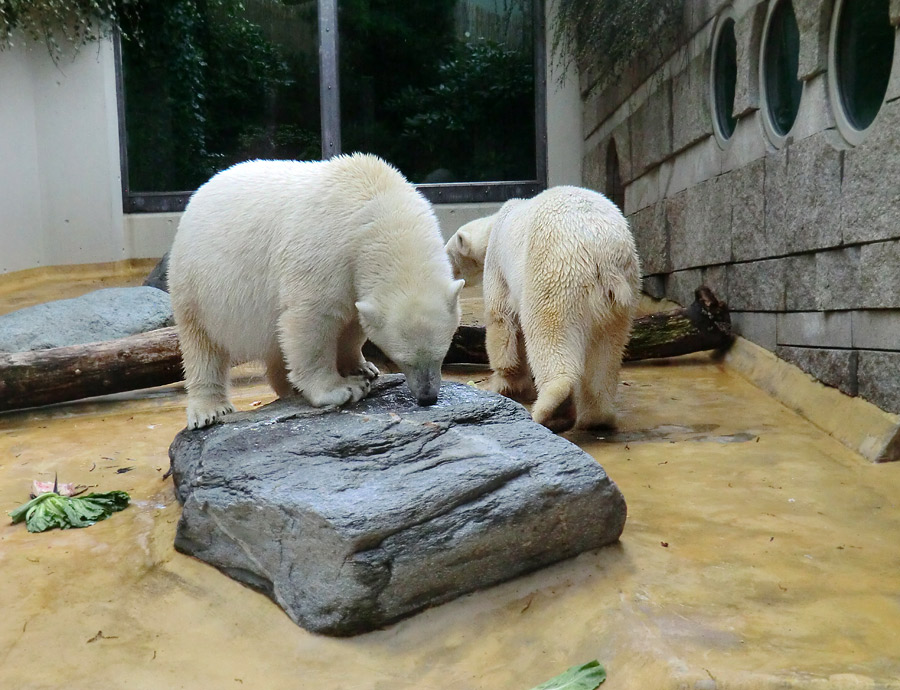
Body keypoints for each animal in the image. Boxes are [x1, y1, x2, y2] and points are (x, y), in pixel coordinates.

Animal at [169, 153, 464, 428]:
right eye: (403, 360)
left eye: (442, 354)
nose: (427, 397)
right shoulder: (327, 249)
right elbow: (311, 319)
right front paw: (342, 389)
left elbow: (353, 321)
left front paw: (363, 367)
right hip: (198, 282)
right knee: (202, 345)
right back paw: (210, 409)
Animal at [446, 183, 644, 430]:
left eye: (448, 253)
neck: (495, 225)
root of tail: (602, 250)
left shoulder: (498, 263)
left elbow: (501, 318)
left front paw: (506, 384)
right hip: (623, 290)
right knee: (607, 348)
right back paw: (597, 418)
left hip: (555, 269)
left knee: (548, 331)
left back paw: (553, 409)